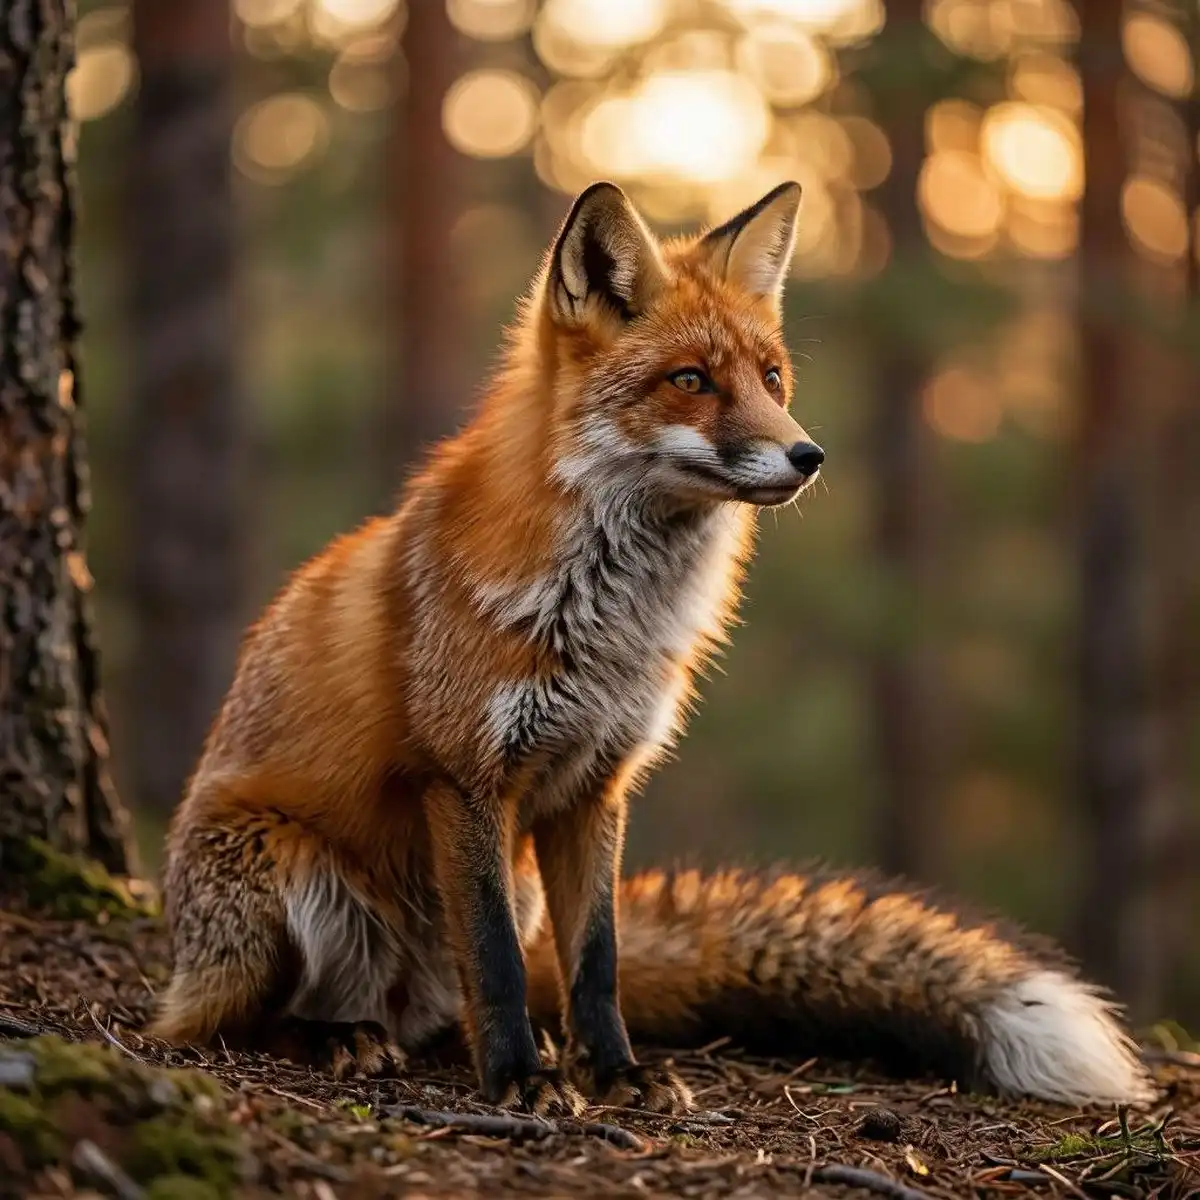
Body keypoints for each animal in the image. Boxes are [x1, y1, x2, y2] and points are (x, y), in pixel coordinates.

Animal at [152, 181, 1154, 1116]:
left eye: (772, 377)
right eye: (690, 381)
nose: (809, 456)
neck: (609, 620)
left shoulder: (597, 782)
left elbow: (595, 960)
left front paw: (612, 1072)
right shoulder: (467, 778)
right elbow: (499, 966)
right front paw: (520, 1079)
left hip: (493, 895)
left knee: (453, 1004)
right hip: (283, 867)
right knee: (230, 1020)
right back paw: (334, 1037)